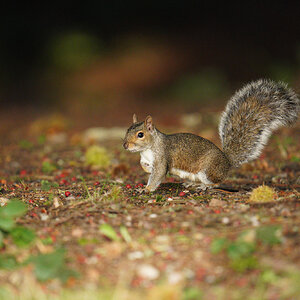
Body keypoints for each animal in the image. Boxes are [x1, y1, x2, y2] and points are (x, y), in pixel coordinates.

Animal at [123, 79, 298, 192]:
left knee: (217, 183)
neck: (148, 149)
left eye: (140, 134)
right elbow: (146, 167)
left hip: (208, 170)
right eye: (127, 130)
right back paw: (192, 184)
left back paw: (204, 186)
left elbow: (158, 174)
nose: (125, 145)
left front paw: (147, 189)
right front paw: (145, 169)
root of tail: (227, 162)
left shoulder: (162, 157)